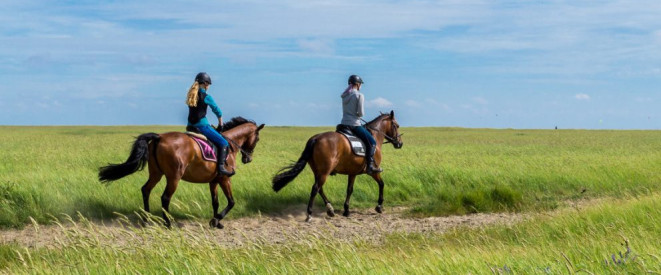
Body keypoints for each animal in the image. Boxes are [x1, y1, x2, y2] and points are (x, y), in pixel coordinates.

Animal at [98, 117, 262, 230]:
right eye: (258, 139)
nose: (248, 158)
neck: (230, 144)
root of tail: (159, 137)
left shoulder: (214, 181)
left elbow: (215, 202)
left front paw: (217, 222)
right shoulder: (225, 179)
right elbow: (231, 202)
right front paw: (216, 220)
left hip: (156, 174)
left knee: (146, 190)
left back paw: (146, 219)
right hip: (174, 177)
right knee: (165, 197)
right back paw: (168, 223)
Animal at [270, 111, 402, 221]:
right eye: (396, 125)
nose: (400, 143)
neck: (374, 135)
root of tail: (316, 138)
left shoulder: (352, 173)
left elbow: (349, 189)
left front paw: (346, 210)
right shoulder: (374, 171)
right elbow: (381, 184)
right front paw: (379, 206)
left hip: (318, 172)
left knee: (320, 189)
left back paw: (330, 209)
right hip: (324, 172)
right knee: (315, 188)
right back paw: (310, 214)